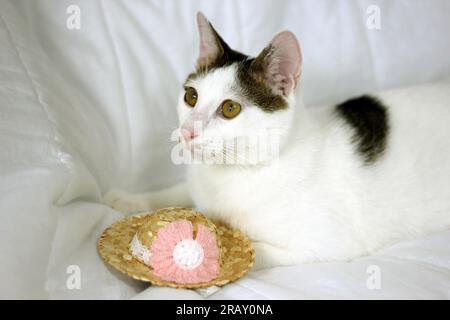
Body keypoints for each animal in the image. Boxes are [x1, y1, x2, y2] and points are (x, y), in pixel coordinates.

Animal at [103, 11, 450, 268]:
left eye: (230, 109)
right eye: (191, 96)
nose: (187, 131)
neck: (233, 172)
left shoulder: (326, 244)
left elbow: (256, 252)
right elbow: (178, 191)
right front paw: (130, 199)